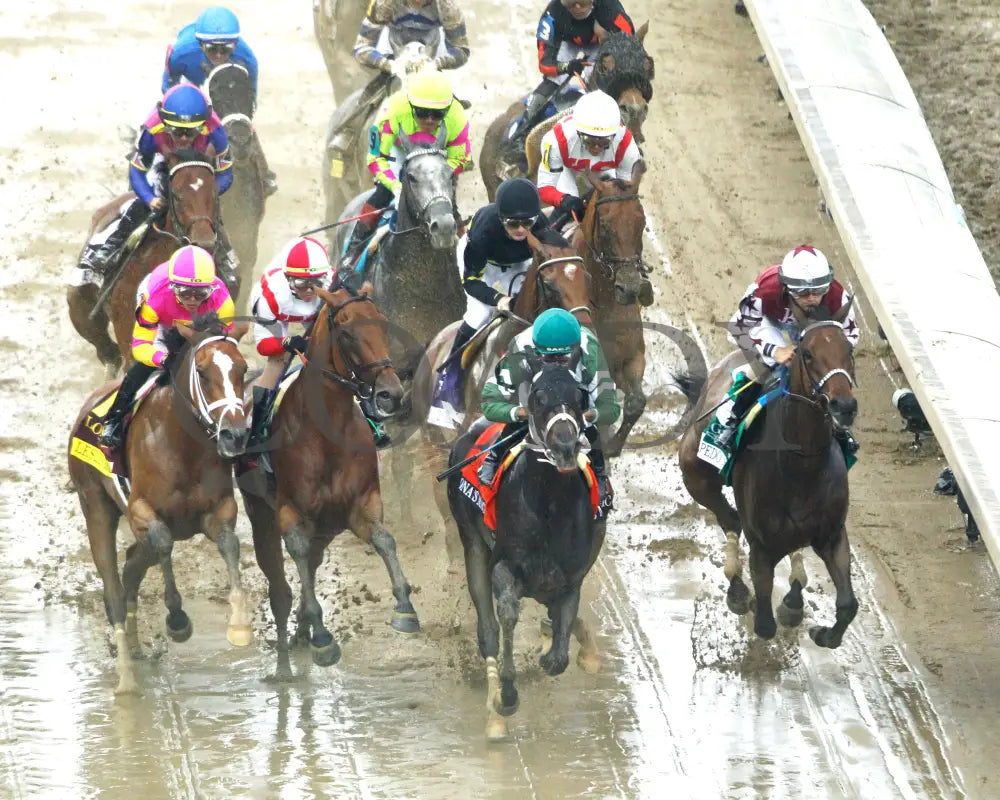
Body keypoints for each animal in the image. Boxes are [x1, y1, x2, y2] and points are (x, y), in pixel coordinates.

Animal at [70, 316, 248, 696]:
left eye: (243, 368)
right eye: (203, 372)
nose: (235, 435)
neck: (182, 446)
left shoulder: (218, 510)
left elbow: (229, 543)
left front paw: (240, 625)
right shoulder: (142, 510)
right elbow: (164, 541)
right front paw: (177, 620)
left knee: (132, 565)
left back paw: (136, 647)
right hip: (95, 505)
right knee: (114, 587)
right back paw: (125, 678)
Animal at [238, 284, 414, 680]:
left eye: (381, 322)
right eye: (346, 333)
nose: (391, 394)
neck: (328, 432)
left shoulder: (360, 505)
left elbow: (386, 540)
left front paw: (405, 608)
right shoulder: (291, 513)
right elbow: (298, 558)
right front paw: (321, 636)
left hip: (328, 526)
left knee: (312, 567)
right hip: (260, 515)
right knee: (280, 588)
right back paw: (286, 664)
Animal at [452, 360, 604, 736]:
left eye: (579, 398)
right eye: (538, 398)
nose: (564, 446)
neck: (549, 505)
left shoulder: (569, 577)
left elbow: (561, 651)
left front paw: (556, 652)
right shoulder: (505, 565)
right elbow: (507, 613)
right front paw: (507, 693)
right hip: (471, 543)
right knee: (488, 631)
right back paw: (494, 715)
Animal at [576, 162, 652, 456]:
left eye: (642, 223)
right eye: (606, 226)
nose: (630, 287)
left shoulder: (633, 357)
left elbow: (636, 402)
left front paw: (613, 446)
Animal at [680, 304, 860, 648]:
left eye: (849, 350)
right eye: (807, 354)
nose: (844, 405)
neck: (802, 465)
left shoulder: (832, 536)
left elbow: (848, 605)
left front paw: (821, 631)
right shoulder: (762, 547)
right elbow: (764, 623)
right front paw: (754, 603)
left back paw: (793, 597)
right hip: (696, 478)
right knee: (729, 519)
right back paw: (738, 589)